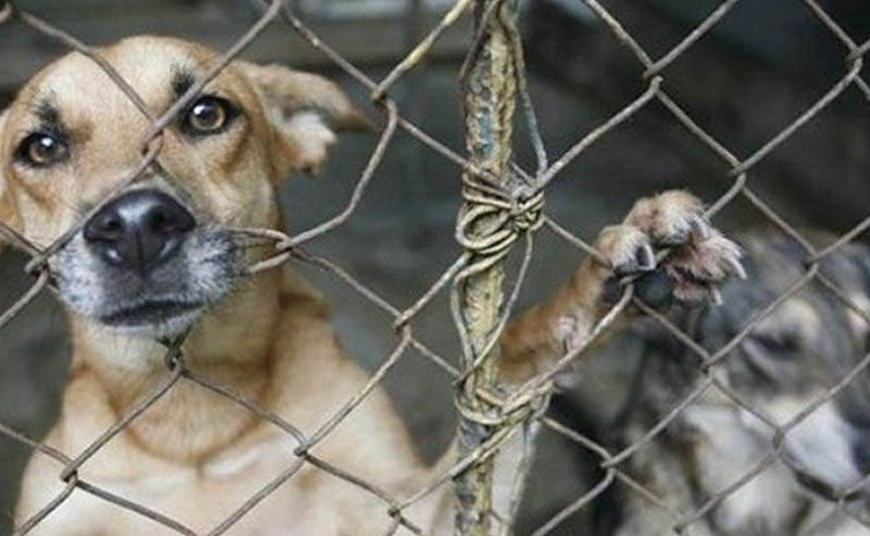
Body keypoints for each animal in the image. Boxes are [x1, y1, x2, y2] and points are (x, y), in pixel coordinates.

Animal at [1, 35, 744, 532]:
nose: (134, 227)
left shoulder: (402, 508)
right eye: (40, 147)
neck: (197, 418)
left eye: (207, 114)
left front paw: (602, 286)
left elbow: (516, 362)